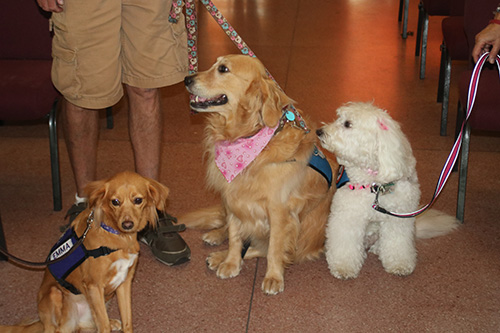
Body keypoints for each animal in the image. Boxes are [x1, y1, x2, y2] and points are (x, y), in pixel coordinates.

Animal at [0, 171, 170, 332]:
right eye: (115, 202)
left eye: (138, 200)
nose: (127, 224)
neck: (116, 235)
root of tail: (41, 322)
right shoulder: (94, 286)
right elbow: (103, 326)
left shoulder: (124, 282)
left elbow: (127, 321)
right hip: (55, 294)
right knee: (60, 329)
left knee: (86, 325)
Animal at [184, 55, 336, 296]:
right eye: (215, 64)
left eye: (223, 69)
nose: (186, 79)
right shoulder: (234, 198)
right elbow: (235, 236)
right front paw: (230, 262)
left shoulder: (280, 212)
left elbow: (274, 248)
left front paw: (273, 277)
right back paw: (217, 238)